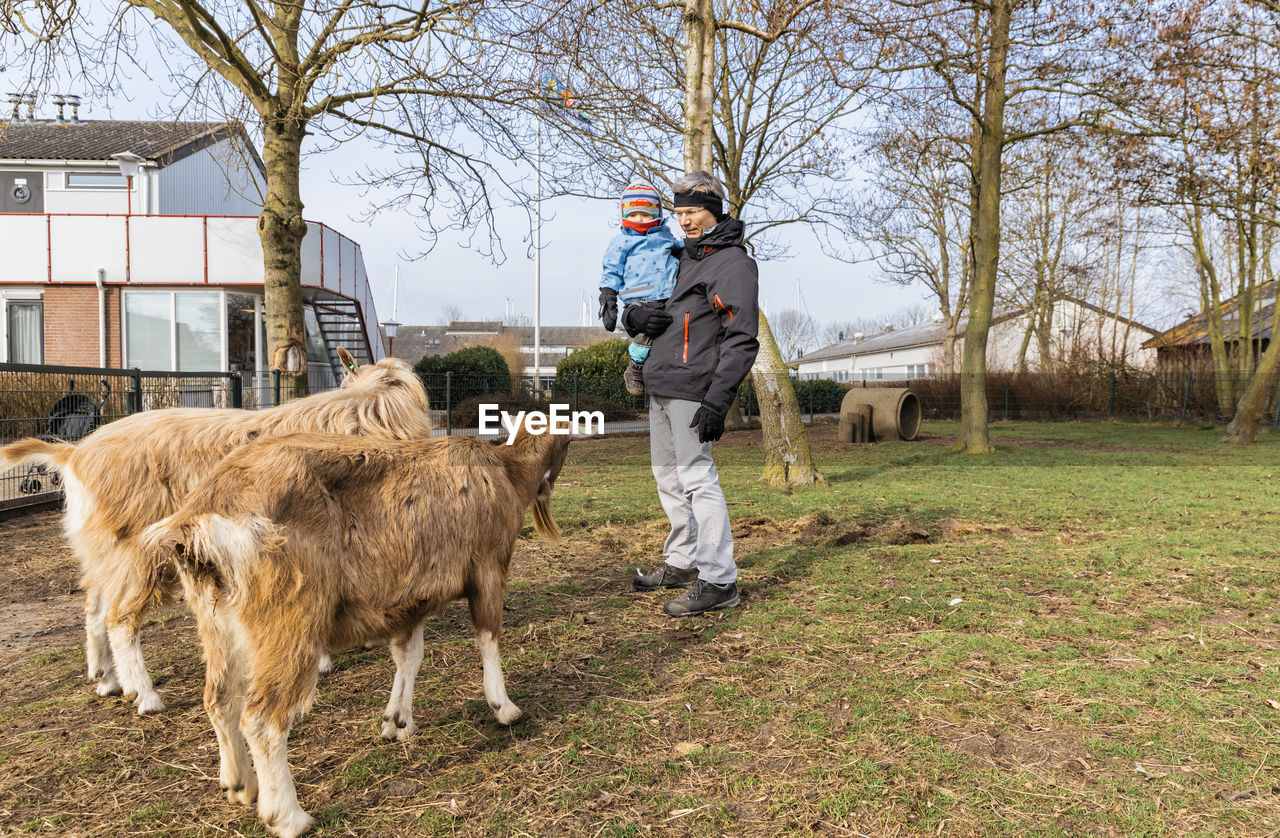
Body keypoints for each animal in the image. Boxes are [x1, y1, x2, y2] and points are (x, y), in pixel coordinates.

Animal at [0, 347, 430, 716]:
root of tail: (75, 453)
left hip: (104, 548)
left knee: (95, 605)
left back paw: (107, 680)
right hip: (141, 547)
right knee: (119, 617)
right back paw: (145, 696)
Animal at [138, 429, 570, 834]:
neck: (508, 471)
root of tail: (201, 517)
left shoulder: (410, 599)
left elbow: (409, 657)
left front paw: (398, 721)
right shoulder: (488, 567)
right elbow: (488, 636)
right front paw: (505, 708)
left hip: (217, 623)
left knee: (219, 699)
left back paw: (240, 785)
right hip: (288, 618)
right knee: (262, 718)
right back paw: (290, 817)